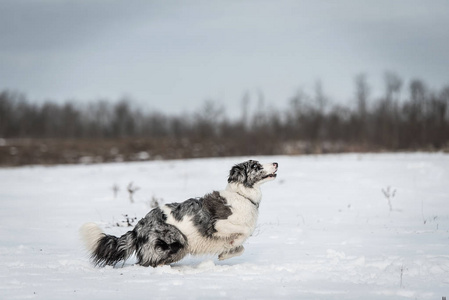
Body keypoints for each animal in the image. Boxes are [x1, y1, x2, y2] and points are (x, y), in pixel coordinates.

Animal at [80, 159, 276, 268]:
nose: (276, 163)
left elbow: (241, 248)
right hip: (176, 240)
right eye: (256, 166)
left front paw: (225, 254)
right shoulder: (217, 224)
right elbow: (244, 231)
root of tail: (137, 229)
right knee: (145, 263)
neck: (242, 196)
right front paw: (233, 242)